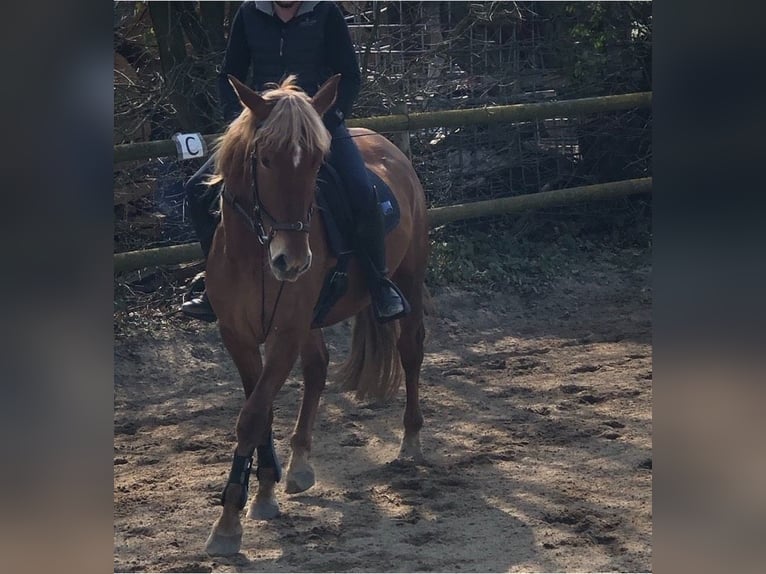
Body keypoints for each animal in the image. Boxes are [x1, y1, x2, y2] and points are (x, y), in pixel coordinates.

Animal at [202, 74, 432, 556]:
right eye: (264, 159)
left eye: (316, 163)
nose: (292, 262)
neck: (254, 254)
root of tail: (388, 145)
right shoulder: (237, 335)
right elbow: (261, 411)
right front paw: (264, 493)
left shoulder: (286, 332)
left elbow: (252, 416)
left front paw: (228, 523)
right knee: (318, 367)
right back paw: (300, 465)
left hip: (409, 277)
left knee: (410, 351)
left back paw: (410, 441)